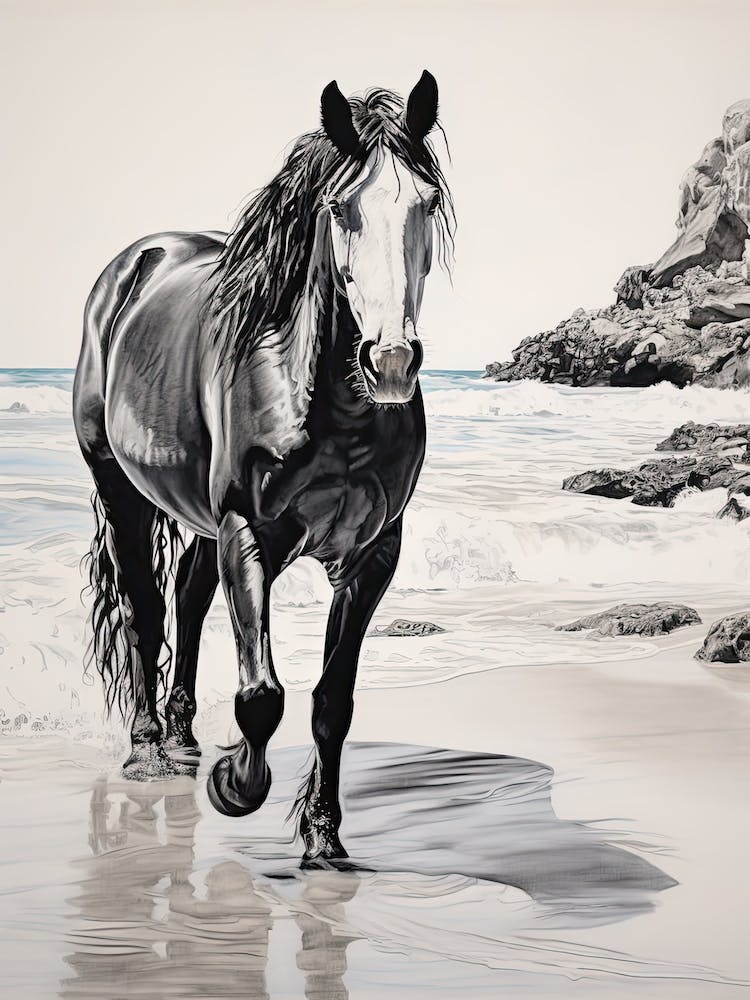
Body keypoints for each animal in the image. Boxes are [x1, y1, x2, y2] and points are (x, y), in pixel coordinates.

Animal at [73, 72, 454, 863]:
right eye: (339, 207)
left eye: (426, 202)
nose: (391, 362)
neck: (332, 406)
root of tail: (136, 262)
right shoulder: (248, 531)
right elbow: (261, 695)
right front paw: (234, 786)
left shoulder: (373, 553)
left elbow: (333, 701)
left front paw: (323, 836)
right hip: (120, 488)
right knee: (143, 606)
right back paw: (148, 749)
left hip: (198, 517)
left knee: (186, 594)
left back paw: (184, 738)